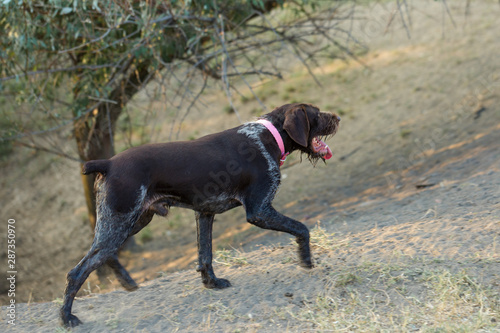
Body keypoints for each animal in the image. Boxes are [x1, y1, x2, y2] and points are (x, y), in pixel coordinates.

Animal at [59, 102, 340, 326]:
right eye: (316, 113)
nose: (337, 117)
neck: (265, 137)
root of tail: (107, 163)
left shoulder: (204, 213)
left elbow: (205, 255)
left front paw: (211, 283)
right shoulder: (259, 210)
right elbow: (302, 228)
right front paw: (306, 259)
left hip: (130, 221)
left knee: (102, 255)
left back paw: (126, 281)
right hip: (120, 221)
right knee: (78, 271)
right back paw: (67, 318)